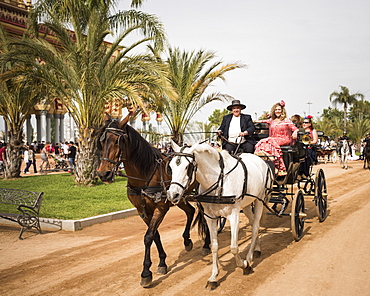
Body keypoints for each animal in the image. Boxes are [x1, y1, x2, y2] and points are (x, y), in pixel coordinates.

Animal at [97, 113, 210, 286]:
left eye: (118, 141)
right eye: (102, 141)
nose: (104, 174)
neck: (145, 174)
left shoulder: (161, 208)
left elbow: (148, 236)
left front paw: (145, 272)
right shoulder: (142, 211)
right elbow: (155, 234)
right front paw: (162, 262)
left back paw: (207, 243)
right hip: (179, 196)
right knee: (191, 211)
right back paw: (187, 240)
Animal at [166, 142, 274, 290]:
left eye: (188, 167)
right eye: (170, 166)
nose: (172, 195)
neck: (219, 180)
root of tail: (261, 160)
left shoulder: (234, 215)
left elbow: (233, 247)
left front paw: (244, 265)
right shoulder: (210, 217)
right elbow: (214, 246)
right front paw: (213, 277)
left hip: (259, 200)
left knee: (256, 227)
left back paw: (249, 257)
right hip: (246, 205)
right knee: (253, 225)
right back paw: (256, 249)